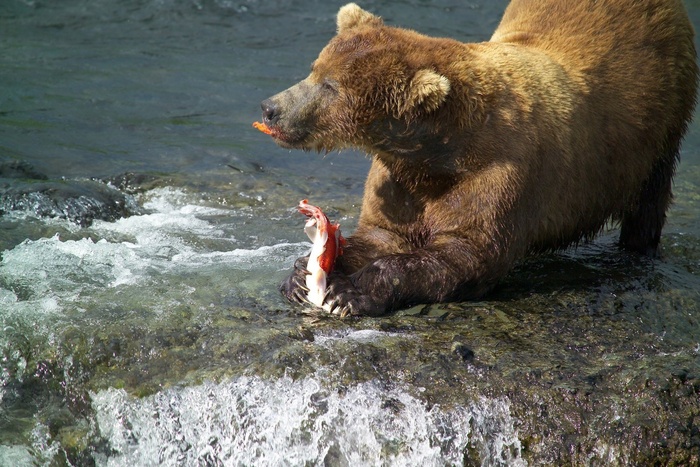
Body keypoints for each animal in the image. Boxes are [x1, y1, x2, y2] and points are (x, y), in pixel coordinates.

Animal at [260, 1, 698, 316]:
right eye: (315, 69)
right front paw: (302, 273)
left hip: (660, 120)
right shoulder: (399, 178)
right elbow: (382, 233)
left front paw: (349, 292)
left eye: (332, 87)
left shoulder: (498, 172)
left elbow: (468, 252)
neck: (438, 152)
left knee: (649, 198)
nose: (271, 108)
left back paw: (636, 251)